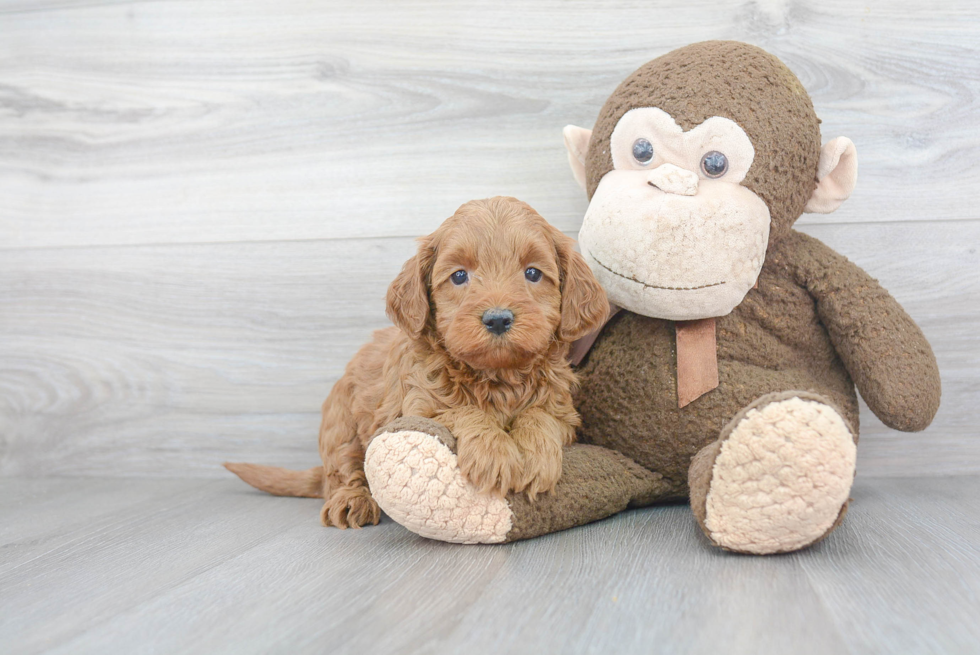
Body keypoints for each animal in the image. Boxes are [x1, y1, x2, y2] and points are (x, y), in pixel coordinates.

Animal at [226, 197, 608, 532]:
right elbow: (461, 410)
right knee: (344, 470)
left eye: (532, 273)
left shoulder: (563, 411)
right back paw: (352, 501)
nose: (498, 319)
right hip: (340, 424)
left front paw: (533, 455)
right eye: (459, 276)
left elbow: (539, 416)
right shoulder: (418, 404)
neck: (497, 375)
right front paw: (494, 451)